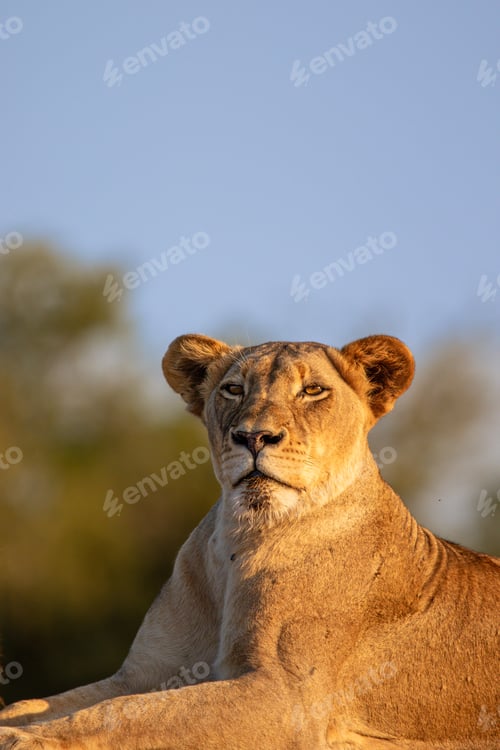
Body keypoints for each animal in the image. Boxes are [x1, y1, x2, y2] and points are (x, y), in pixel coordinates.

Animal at [0, 333, 498, 750]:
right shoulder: (145, 672)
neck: (240, 539)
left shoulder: (286, 696)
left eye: (312, 390)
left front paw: (25, 739)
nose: (254, 436)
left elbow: (128, 714)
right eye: (234, 390)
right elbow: (47, 704)